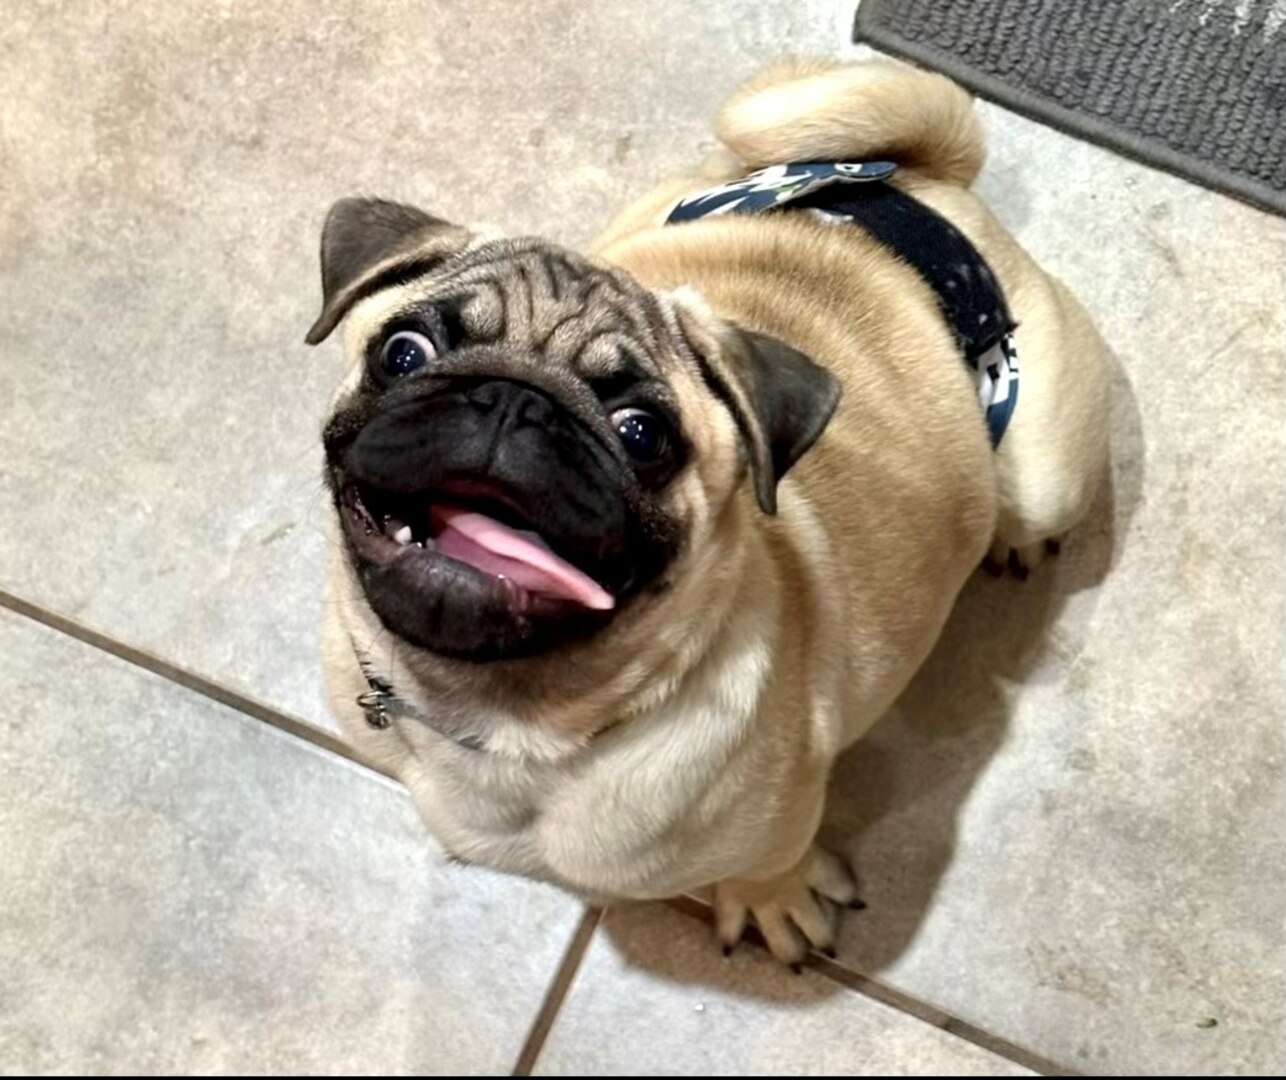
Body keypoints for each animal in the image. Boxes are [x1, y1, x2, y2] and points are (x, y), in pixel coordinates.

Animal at [306, 59, 1111, 966]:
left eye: (642, 433)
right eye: (403, 353)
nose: (514, 400)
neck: (511, 721)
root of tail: (921, 183)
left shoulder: (780, 820)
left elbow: (769, 864)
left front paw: (773, 901)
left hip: (1048, 475)